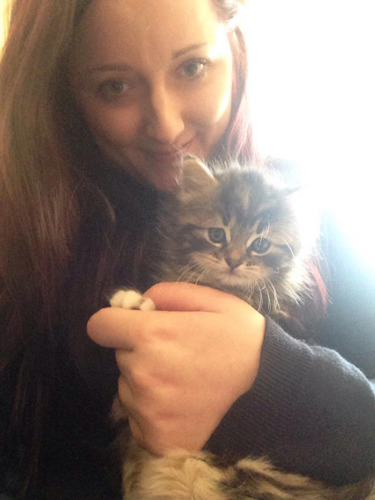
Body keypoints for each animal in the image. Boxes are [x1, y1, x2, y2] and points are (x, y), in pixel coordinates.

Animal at [108, 157, 374, 500]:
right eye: (216, 234)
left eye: (260, 244)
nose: (233, 260)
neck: (223, 288)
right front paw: (133, 302)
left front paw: (136, 302)